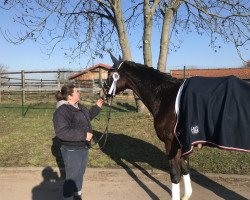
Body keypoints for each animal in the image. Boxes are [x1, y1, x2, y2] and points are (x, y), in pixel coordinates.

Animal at [102, 56, 250, 200]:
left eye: (110, 75)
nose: (104, 93)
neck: (166, 97)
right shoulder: (183, 143)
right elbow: (184, 168)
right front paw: (186, 195)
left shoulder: (170, 143)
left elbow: (174, 173)